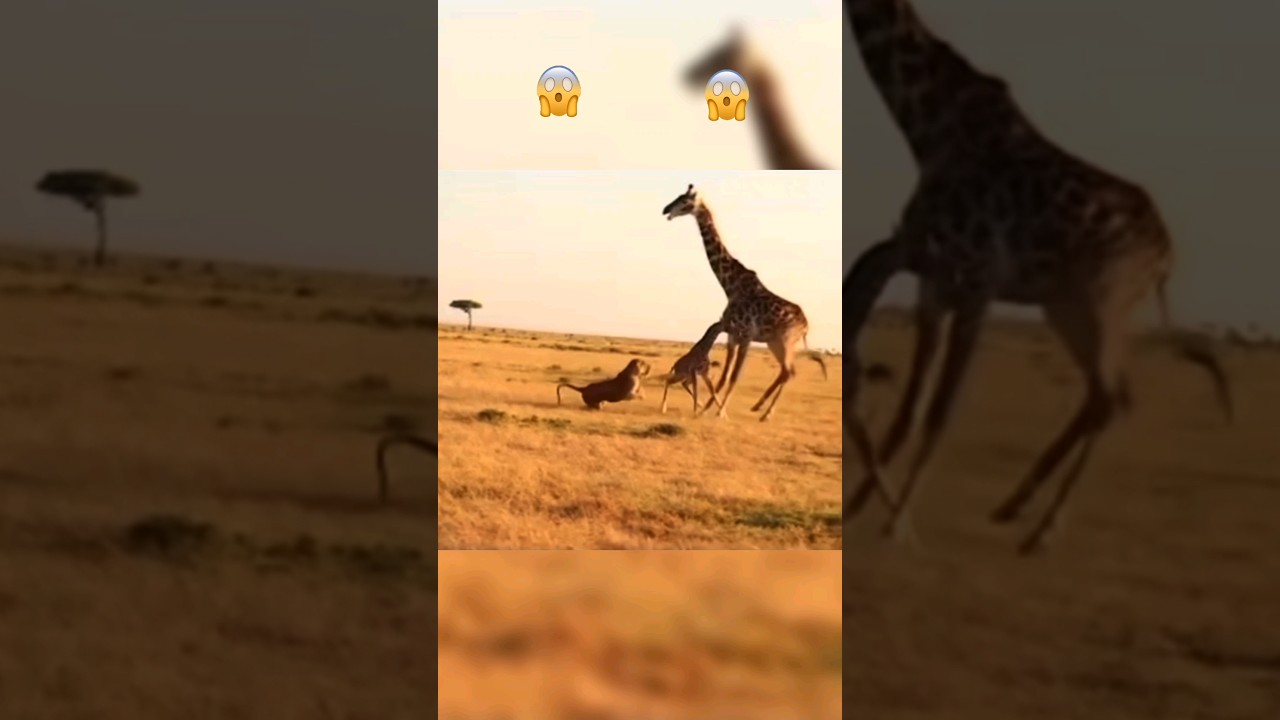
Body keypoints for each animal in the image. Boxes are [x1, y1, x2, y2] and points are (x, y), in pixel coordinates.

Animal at [662, 184, 828, 421]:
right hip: (775, 342)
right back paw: (758, 407)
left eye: (685, 201)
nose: (666, 210)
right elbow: (723, 377)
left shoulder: (747, 335)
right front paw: (706, 409)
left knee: (789, 372)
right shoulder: (733, 335)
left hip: (786, 340)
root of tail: (806, 326)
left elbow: (734, 377)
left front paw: (719, 411)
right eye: (677, 197)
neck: (730, 287)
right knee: (787, 371)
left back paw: (766, 413)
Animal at [840, 0, 1233, 554]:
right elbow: (908, 413)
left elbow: (941, 412)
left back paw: (1042, 529)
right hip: (1066, 307)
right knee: (1102, 396)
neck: (927, 127)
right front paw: (861, 509)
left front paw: (896, 521)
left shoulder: (977, 281)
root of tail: (1166, 256)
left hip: (1103, 299)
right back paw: (1014, 507)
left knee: (1113, 399)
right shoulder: (934, 285)